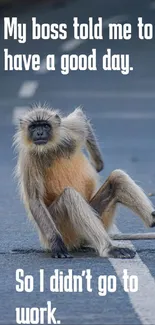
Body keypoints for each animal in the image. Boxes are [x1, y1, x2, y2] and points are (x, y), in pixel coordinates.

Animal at [13, 105, 155, 258]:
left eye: (45, 126)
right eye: (33, 127)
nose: (39, 133)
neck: (49, 149)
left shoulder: (68, 131)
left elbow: (81, 118)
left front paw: (98, 164)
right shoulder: (29, 157)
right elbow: (34, 199)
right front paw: (56, 244)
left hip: (98, 216)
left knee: (118, 178)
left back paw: (152, 220)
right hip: (64, 230)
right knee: (70, 197)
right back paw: (109, 248)